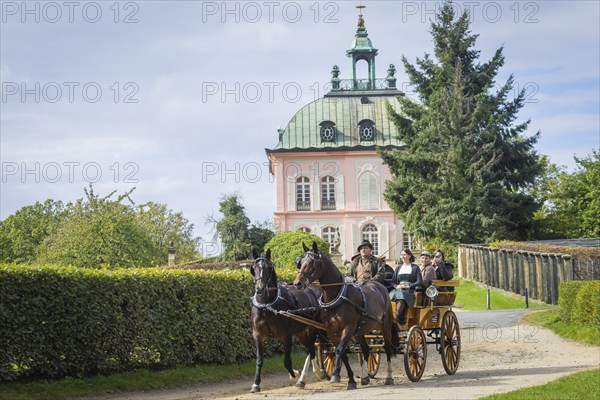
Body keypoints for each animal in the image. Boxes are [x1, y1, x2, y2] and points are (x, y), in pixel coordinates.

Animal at [250, 248, 326, 392]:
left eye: (269, 267)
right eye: (254, 267)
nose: (260, 289)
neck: (267, 305)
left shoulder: (286, 335)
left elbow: (287, 361)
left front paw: (294, 373)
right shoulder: (258, 334)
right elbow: (259, 360)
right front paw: (256, 383)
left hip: (313, 327)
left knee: (312, 350)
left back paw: (310, 375)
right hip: (300, 332)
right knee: (309, 349)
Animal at [294, 242, 398, 390]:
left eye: (312, 262)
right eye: (301, 262)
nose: (297, 283)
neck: (336, 297)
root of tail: (379, 286)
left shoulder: (348, 328)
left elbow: (339, 351)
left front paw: (336, 375)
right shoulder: (332, 332)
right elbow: (342, 353)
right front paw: (351, 380)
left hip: (385, 326)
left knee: (388, 348)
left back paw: (389, 377)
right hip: (360, 331)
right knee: (366, 350)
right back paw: (365, 377)